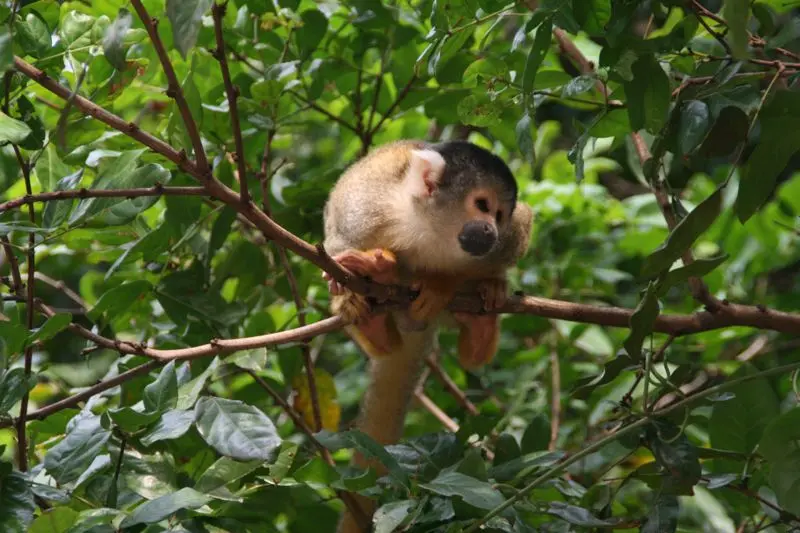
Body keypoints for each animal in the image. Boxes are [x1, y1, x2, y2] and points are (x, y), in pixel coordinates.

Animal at [318, 139, 532, 528]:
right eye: (482, 205)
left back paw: (479, 319)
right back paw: (376, 305)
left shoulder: (509, 238)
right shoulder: (364, 206)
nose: (491, 230)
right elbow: (337, 234)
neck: (430, 228)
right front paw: (351, 289)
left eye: (500, 215)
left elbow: (522, 227)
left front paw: (441, 284)